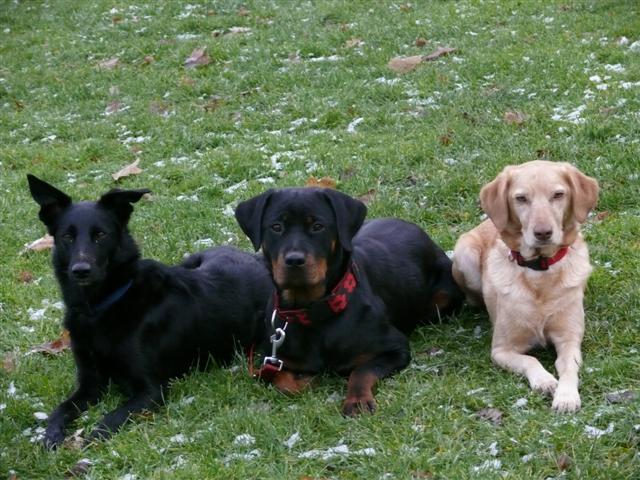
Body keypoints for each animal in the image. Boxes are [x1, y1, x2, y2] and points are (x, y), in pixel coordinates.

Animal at [26, 175, 272, 446]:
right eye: (67, 237)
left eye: (100, 235)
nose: (81, 270)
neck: (102, 308)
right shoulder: (89, 384)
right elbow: (61, 409)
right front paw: (52, 434)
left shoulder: (151, 390)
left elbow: (109, 419)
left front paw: (88, 441)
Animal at [234, 188, 460, 416]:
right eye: (276, 227)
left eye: (318, 226)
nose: (294, 260)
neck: (314, 313)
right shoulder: (271, 357)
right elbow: (283, 382)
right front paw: (307, 380)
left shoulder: (396, 349)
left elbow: (361, 370)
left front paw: (357, 401)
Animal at [452, 161, 596, 412]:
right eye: (521, 198)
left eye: (558, 195)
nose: (543, 232)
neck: (540, 272)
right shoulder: (501, 350)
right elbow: (531, 359)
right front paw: (545, 380)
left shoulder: (570, 338)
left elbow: (568, 366)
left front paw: (566, 396)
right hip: (464, 254)